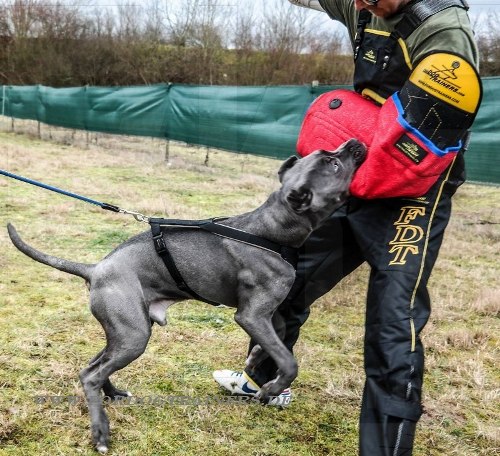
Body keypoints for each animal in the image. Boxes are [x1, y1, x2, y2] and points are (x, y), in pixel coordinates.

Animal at [6, 139, 368, 452]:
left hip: (127, 332)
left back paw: (115, 395)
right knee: (93, 375)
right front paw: (272, 388)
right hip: (133, 336)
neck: (273, 229)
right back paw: (101, 434)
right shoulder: (250, 314)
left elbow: (278, 338)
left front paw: (254, 360)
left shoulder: (266, 313)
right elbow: (289, 361)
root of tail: (94, 269)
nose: (354, 143)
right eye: (333, 164)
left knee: (92, 368)